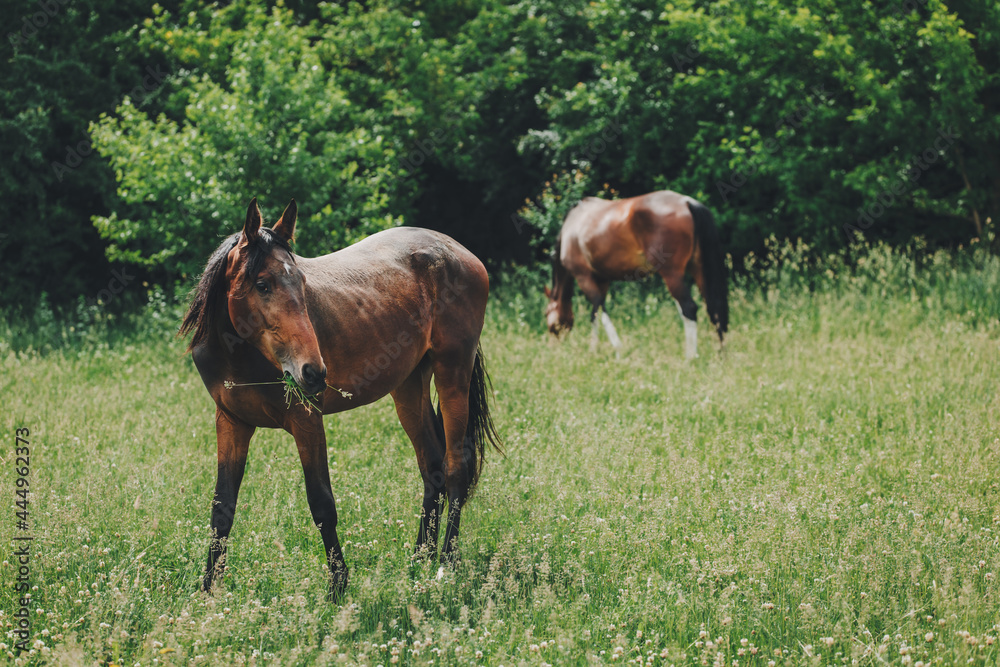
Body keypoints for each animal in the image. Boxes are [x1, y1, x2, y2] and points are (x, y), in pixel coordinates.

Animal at [179, 198, 502, 600]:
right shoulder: (231, 423)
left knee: (457, 465)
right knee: (433, 467)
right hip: (409, 385)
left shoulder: (307, 420)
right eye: (262, 284)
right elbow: (222, 508)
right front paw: (208, 590)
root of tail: (460, 252)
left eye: (302, 282)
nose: (314, 372)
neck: (240, 356)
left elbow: (322, 504)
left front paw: (337, 587)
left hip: (452, 374)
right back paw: (420, 559)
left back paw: (446, 564)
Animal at [544, 190, 728, 358]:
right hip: (698, 270)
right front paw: (594, 349)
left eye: (546, 314)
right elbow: (595, 313)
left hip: (672, 275)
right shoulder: (602, 280)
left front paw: (614, 349)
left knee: (689, 308)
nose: (553, 346)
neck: (572, 227)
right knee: (713, 308)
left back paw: (690, 357)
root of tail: (686, 202)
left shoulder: (584, 277)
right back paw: (720, 355)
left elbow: (598, 308)